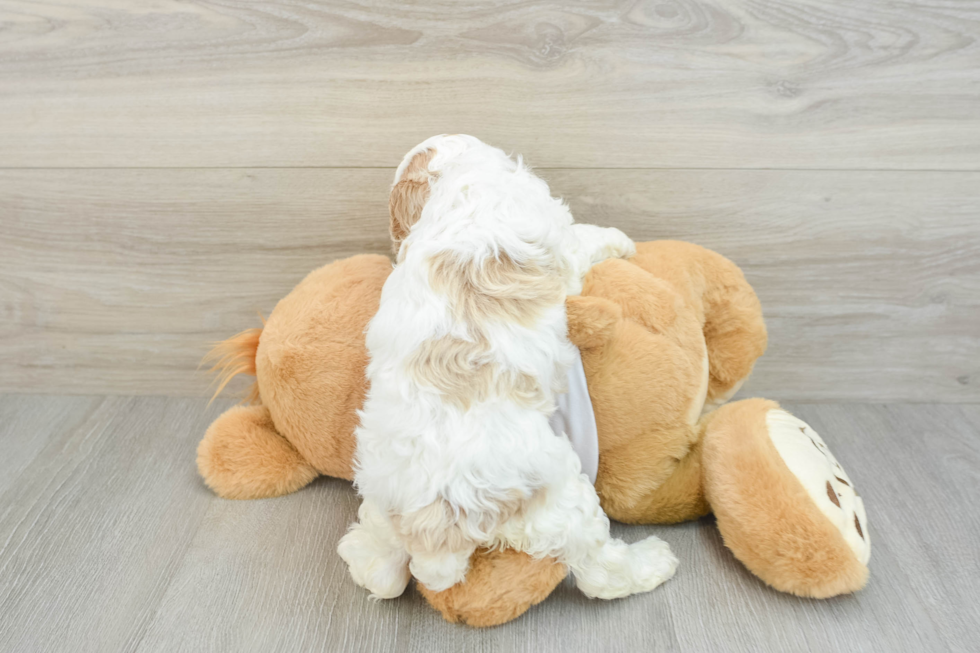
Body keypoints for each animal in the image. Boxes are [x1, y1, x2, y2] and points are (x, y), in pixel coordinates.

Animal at [334, 135, 672, 600]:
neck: (459, 177)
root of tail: (438, 520)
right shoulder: (562, 240)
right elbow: (586, 238)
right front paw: (620, 240)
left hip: (381, 500)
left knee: (382, 574)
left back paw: (356, 549)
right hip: (562, 498)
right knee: (600, 573)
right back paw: (654, 562)